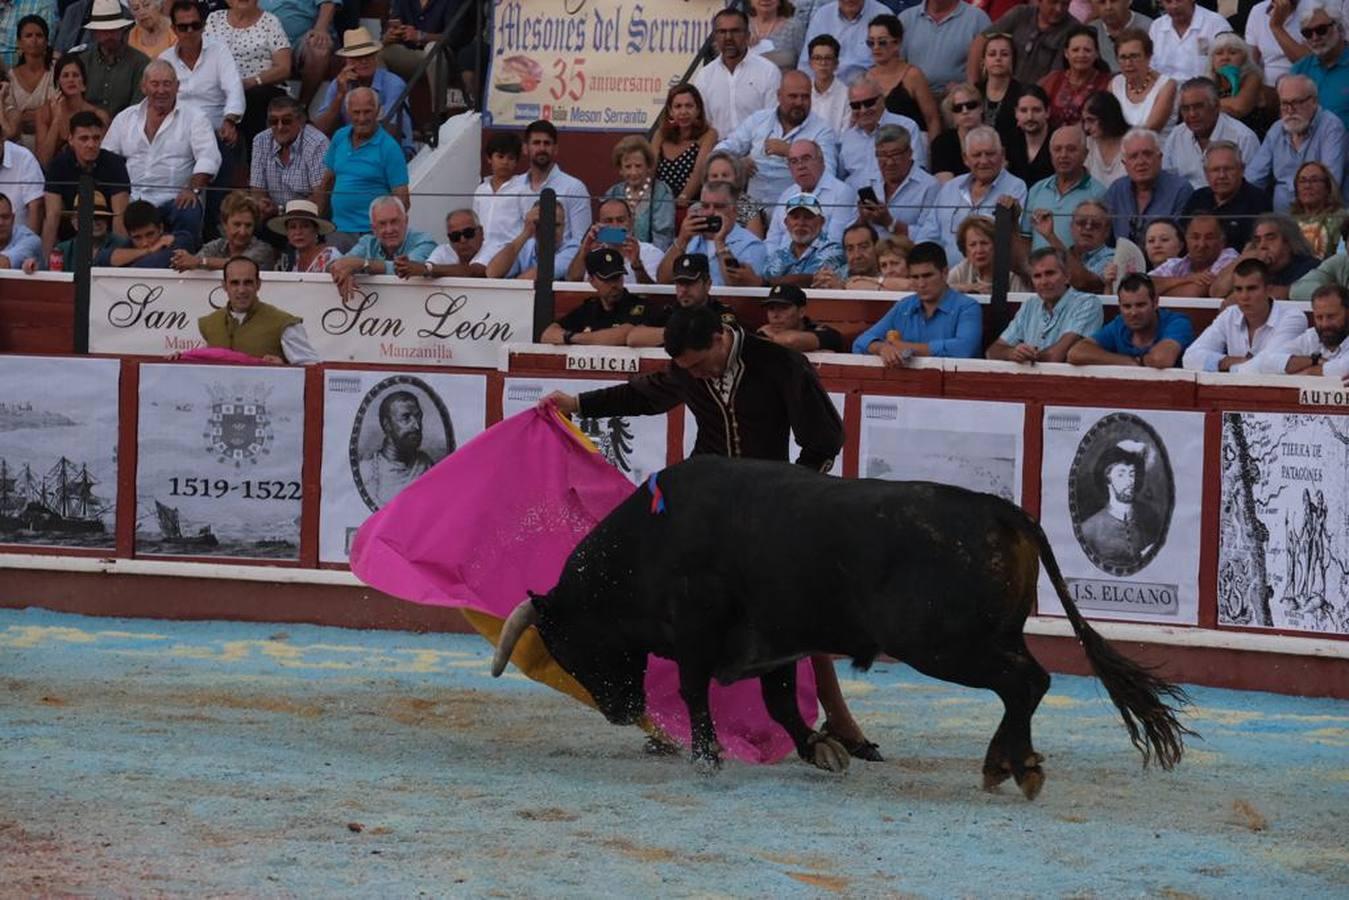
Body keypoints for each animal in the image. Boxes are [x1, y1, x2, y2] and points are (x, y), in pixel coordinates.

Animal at [496, 458, 1192, 793]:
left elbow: (697, 693)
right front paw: (822, 749)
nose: (620, 713)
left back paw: (1009, 767)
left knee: (1027, 683)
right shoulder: (774, 647)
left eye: (567, 645)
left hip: (945, 645)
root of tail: (1001, 509)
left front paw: (708, 758)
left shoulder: (696, 634)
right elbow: (780, 704)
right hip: (987, 637)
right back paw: (1008, 763)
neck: (650, 540)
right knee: (1026, 684)